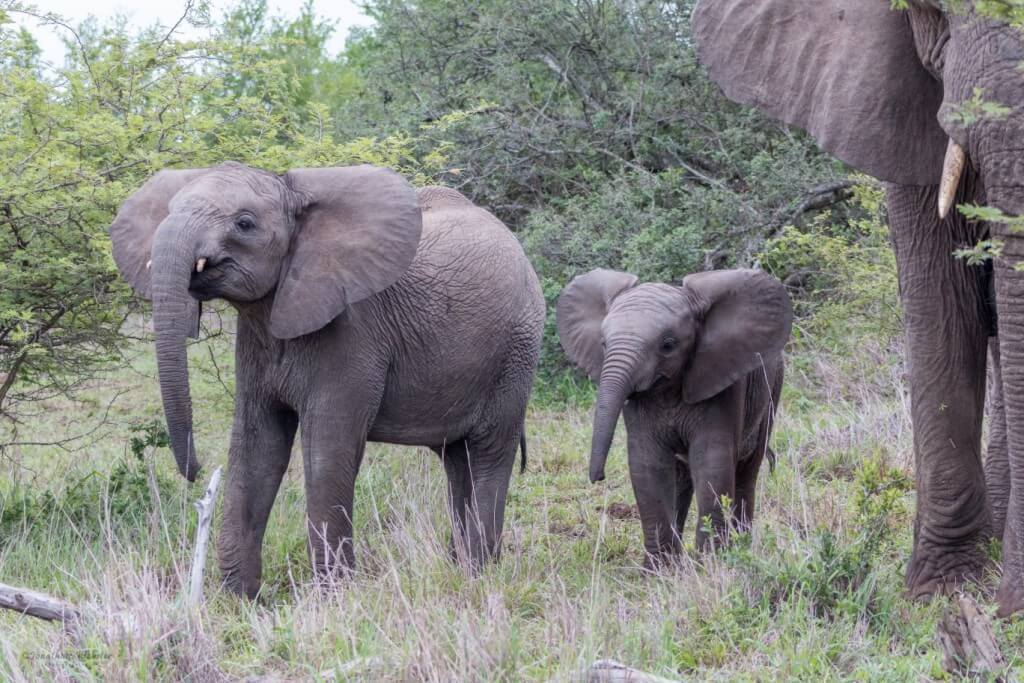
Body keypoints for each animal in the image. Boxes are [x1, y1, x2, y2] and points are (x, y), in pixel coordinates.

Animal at [108, 162, 545, 598]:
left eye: (245, 223)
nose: (196, 472)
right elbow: (258, 446)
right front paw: (237, 600)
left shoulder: (354, 331)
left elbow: (327, 451)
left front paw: (334, 598)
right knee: (457, 459)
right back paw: (458, 567)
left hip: (516, 353)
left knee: (489, 453)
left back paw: (477, 573)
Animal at [556, 268, 791, 560]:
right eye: (603, 343)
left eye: (668, 345)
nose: (598, 477)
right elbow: (649, 466)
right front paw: (661, 568)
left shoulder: (724, 384)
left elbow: (712, 462)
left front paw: (711, 563)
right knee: (681, 481)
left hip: (773, 387)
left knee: (747, 471)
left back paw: (742, 546)